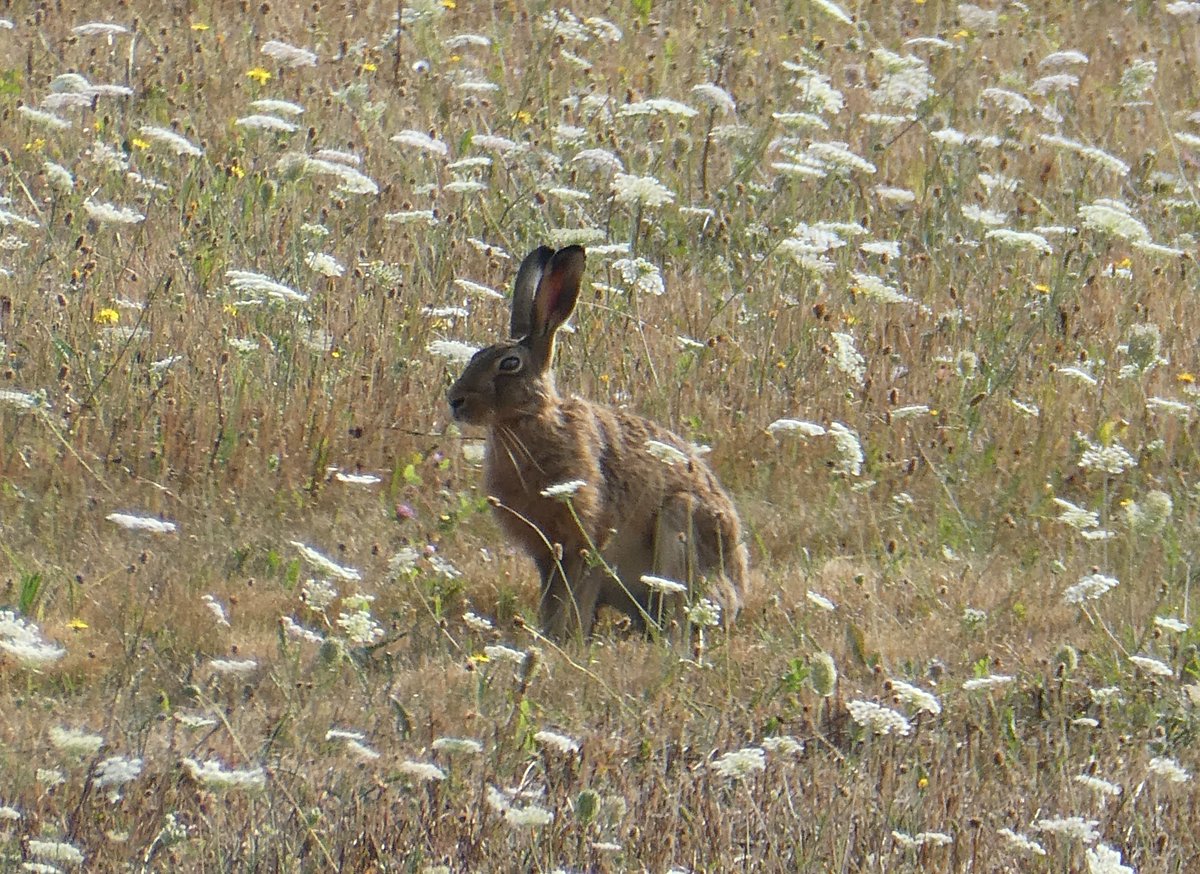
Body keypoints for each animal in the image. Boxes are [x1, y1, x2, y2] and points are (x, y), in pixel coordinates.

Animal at [447, 244, 749, 640]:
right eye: (475, 356)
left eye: (509, 364)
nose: (454, 400)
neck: (532, 420)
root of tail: (737, 598)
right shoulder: (547, 552)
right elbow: (551, 600)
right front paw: (550, 637)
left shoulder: (588, 539)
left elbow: (576, 598)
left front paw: (565, 640)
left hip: (682, 523)